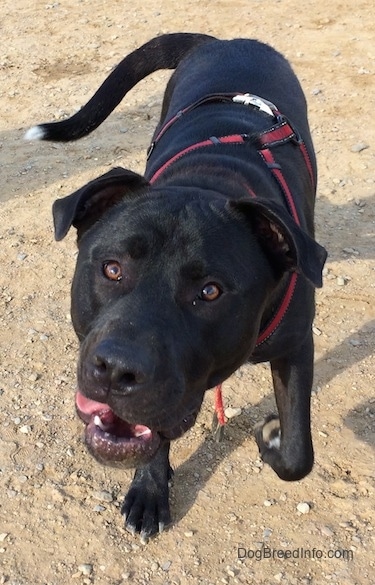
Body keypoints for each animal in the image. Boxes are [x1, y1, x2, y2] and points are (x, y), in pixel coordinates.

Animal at [25, 34, 326, 540]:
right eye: (111, 269)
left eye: (210, 292)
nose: (116, 370)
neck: (210, 180)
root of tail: (228, 41)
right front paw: (150, 490)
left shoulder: (296, 344)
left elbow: (298, 454)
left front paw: (272, 438)